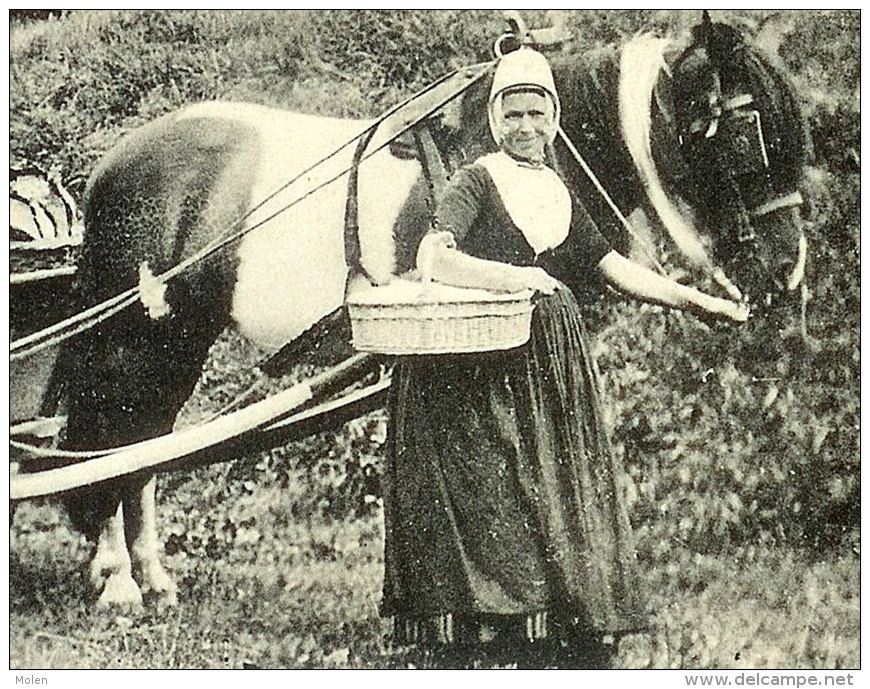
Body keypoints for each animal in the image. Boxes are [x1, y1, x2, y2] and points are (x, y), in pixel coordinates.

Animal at [32, 14, 812, 608]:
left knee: (142, 445)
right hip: (135, 339)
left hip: (176, 341)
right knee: (111, 439)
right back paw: (120, 579)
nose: (790, 269)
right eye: (747, 133)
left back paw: (150, 575)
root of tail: (111, 165)